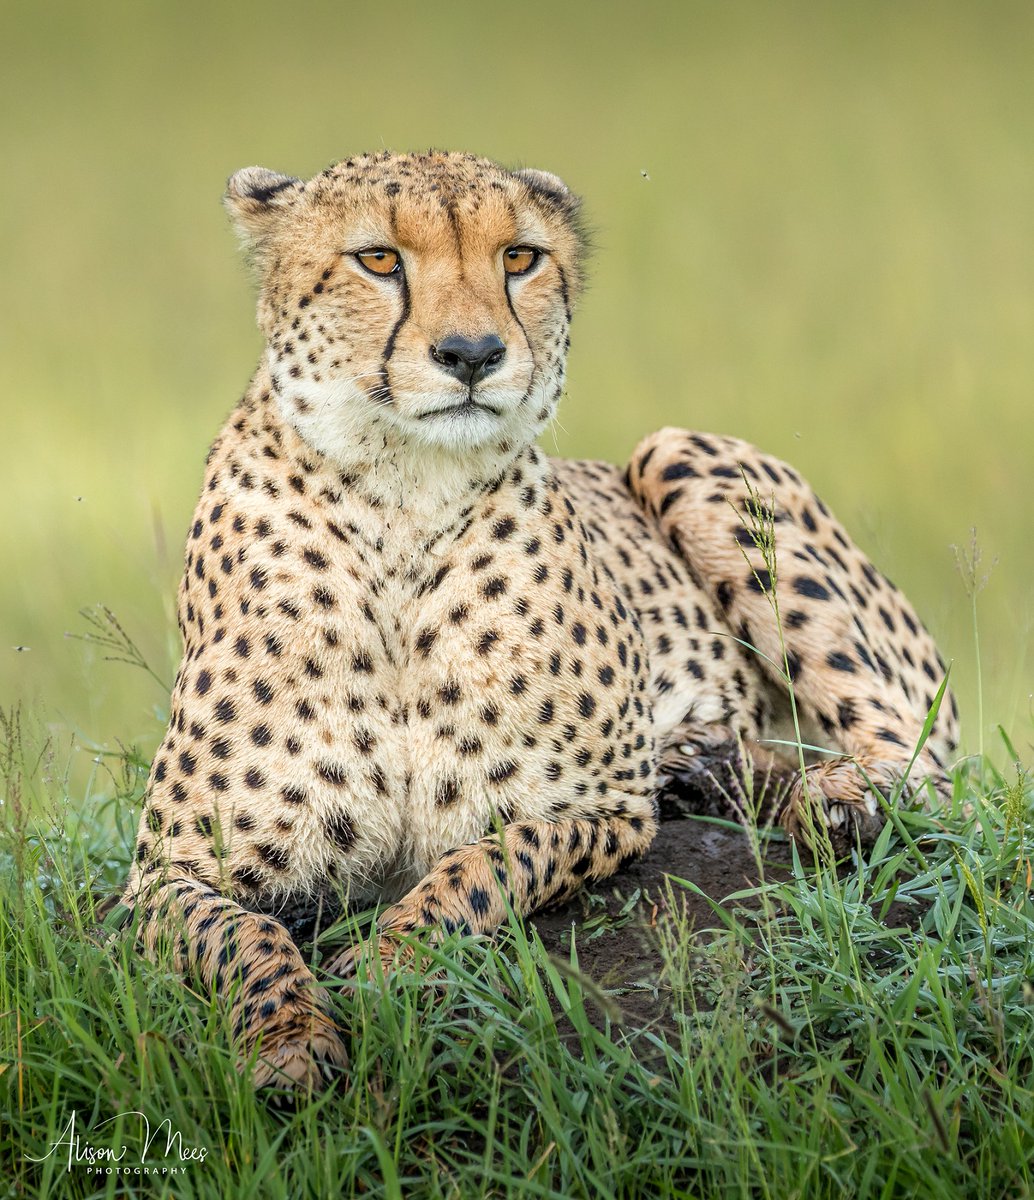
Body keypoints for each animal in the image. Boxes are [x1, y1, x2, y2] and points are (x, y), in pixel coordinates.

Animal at [121, 149, 959, 1090]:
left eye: (519, 258)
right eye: (378, 259)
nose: (473, 354)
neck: (404, 498)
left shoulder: (601, 810)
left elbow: (483, 864)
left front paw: (386, 963)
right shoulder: (165, 872)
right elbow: (245, 935)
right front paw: (288, 1041)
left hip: (682, 454)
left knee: (920, 756)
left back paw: (834, 796)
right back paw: (712, 768)